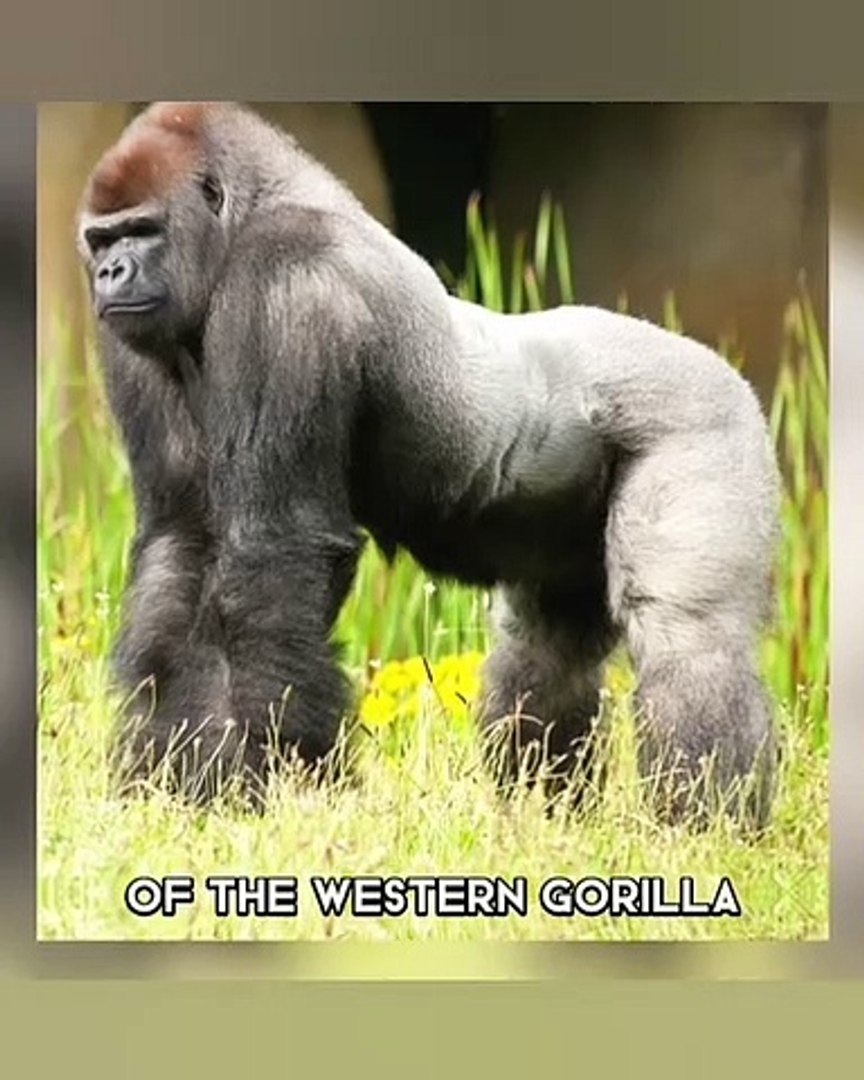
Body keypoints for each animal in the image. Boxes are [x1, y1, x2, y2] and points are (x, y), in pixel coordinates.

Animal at [76, 102, 781, 824]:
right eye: (101, 241)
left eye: (142, 231)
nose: (108, 275)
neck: (250, 212)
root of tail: (728, 372)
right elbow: (182, 546)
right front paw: (172, 782)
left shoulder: (287, 278)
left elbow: (275, 547)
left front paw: (281, 776)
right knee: (545, 652)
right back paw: (542, 812)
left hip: (704, 419)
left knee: (689, 635)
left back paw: (703, 826)